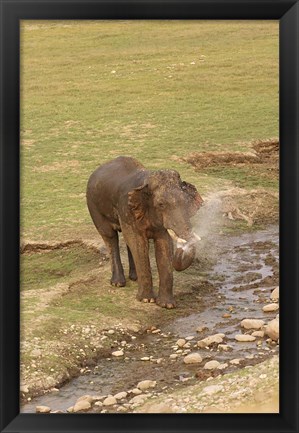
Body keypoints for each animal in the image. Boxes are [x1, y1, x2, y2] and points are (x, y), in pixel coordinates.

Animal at [86, 155, 204, 308]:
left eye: (186, 202)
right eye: (161, 204)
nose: (182, 248)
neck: (145, 181)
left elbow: (164, 245)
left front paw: (167, 305)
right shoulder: (127, 209)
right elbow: (139, 243)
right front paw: (147, 300)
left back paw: (134, 278)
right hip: (94, 206)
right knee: (110, 236)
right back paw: (118, 283)